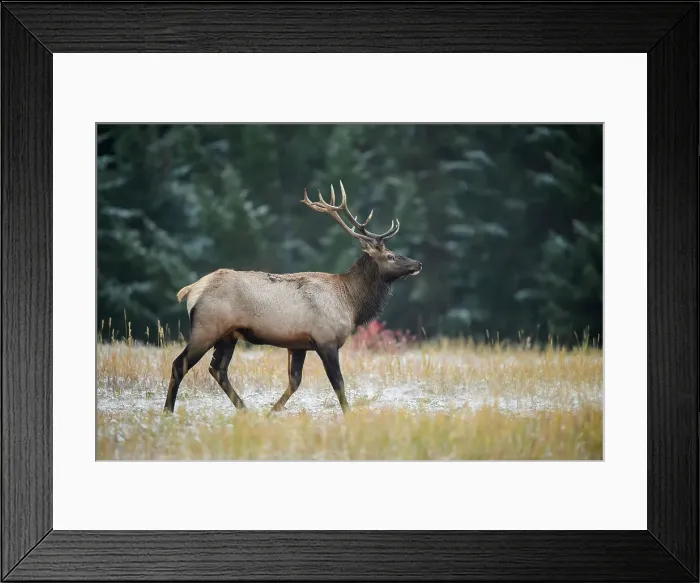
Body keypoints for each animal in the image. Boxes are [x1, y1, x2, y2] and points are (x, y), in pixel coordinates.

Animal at [163, 180, 422, 416]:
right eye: (390, 255)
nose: (417, 263)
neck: (351, 303)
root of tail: (190, 290)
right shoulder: (325, 339)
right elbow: (338, 383)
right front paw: (349, 415)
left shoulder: (298, 344)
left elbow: (294, 382)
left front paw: (271, 413)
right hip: (206, 327)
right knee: (179, 364)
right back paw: (168, 411)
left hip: (228, 335)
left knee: (217, 369)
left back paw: (245, 410)